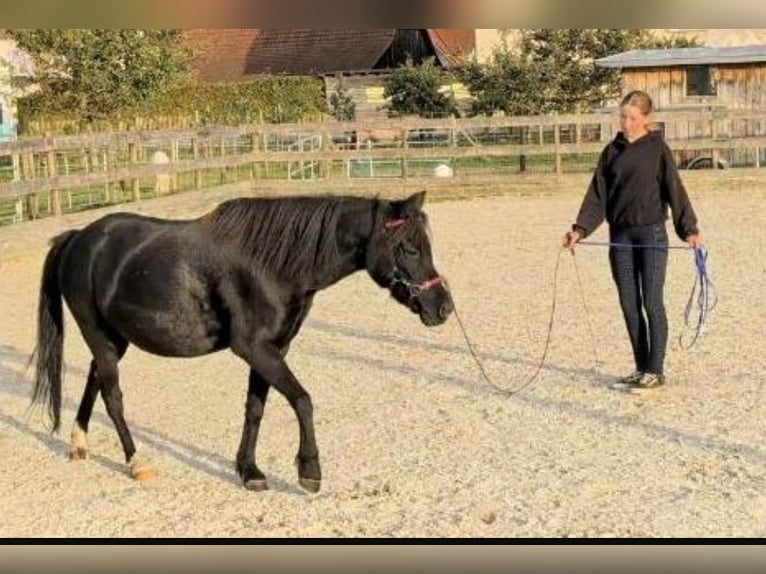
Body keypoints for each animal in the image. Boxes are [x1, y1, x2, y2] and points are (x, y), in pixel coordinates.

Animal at [30, 191, 453, 492]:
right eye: (410, 248)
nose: (443, 306)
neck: (273, 264)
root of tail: (79, 238)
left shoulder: (272, 350)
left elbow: (255, 408)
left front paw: (249, 471)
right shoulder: (254, 348)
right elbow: (302, 400)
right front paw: (309, 470)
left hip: (113, 339)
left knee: (93, 378)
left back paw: (79, 444)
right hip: (99, 335)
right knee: (113, 396)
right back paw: (137, 463)